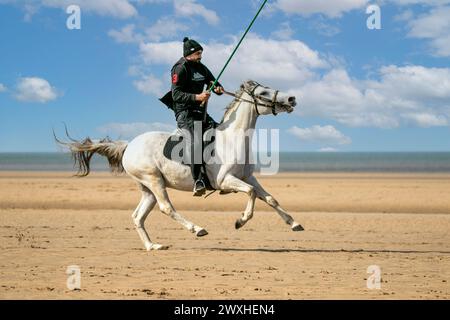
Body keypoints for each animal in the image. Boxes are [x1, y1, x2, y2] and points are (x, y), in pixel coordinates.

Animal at [55, 80, 302, 250]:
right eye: (263, 93)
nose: (292, 99)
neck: (233, 138)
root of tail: (128, 146)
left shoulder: (247, 177)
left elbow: (269, 198)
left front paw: (294, 223)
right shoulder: (226, 181)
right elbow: (251, 193)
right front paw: (240, 221)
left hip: (148, 189)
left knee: (138, 216)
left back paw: (153, 246)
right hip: (154, 180)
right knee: (166, 208)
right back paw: (198, 229)